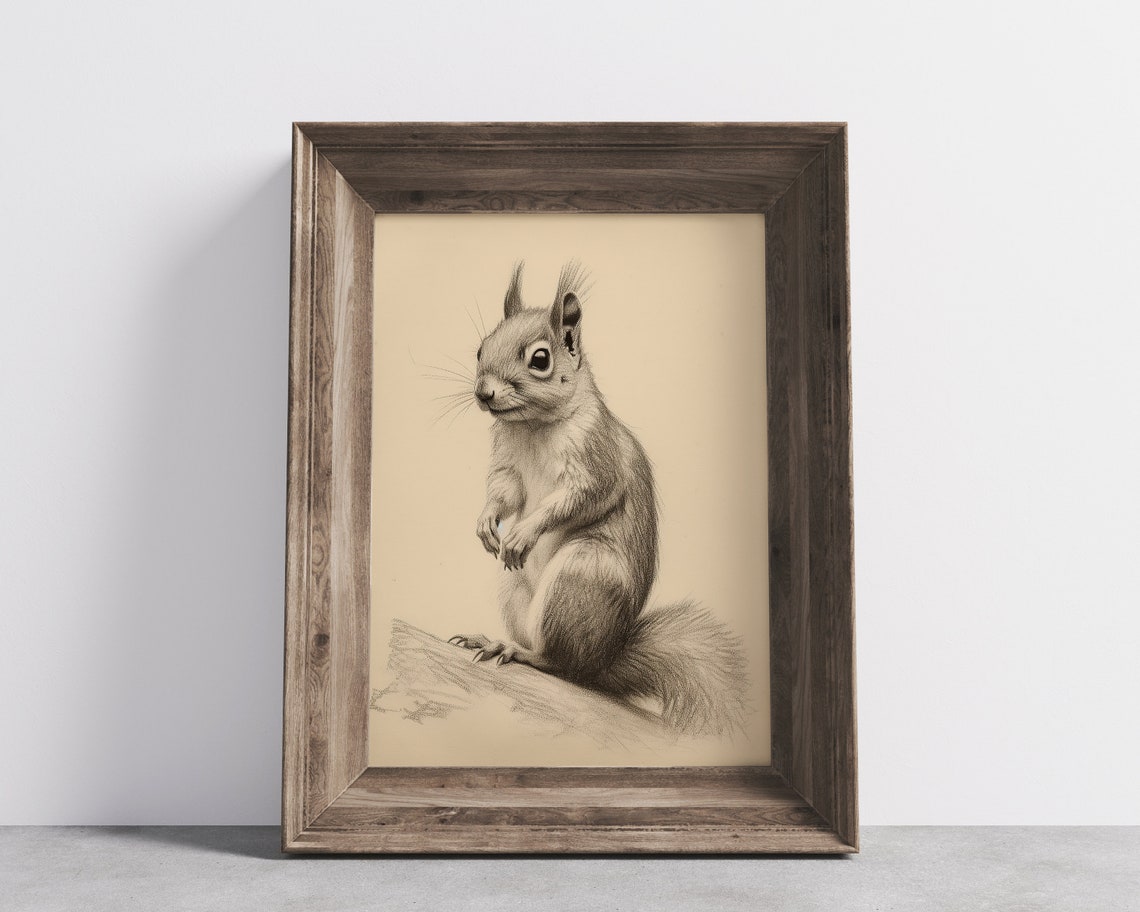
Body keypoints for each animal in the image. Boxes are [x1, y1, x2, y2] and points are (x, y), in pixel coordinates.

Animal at [448, 262, 746, 737]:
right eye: (480, 349)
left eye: (540, 359)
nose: (484, 393)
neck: (533, 426)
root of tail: (603, 661)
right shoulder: (507, 463)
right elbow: (505, 492)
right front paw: (487, 522)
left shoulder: (596, 459)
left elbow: (579, 498)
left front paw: (522, 532)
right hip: (515, 587)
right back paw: (494, 639)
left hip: (579, 581)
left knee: (561, 665)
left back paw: (521, 653)